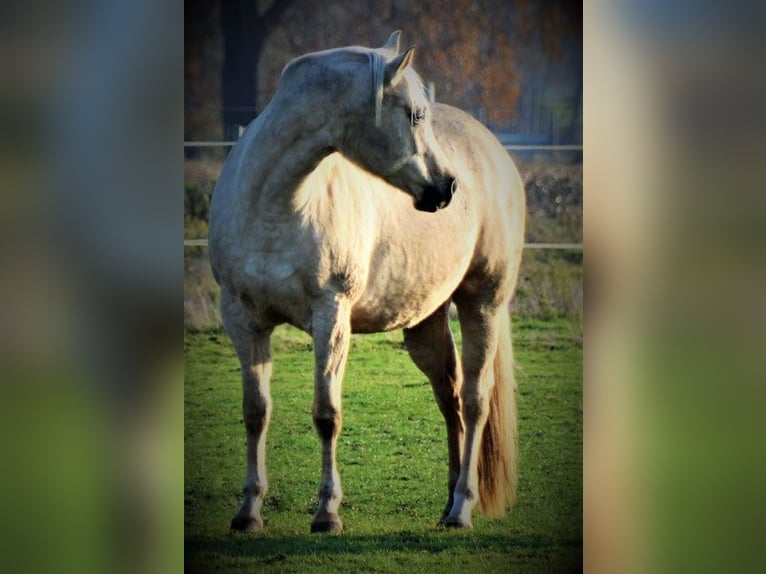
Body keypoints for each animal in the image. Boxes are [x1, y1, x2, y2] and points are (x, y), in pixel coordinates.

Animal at [207, 32, 524, 536]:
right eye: (415, 114)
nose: (447, 188)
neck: (276, 204)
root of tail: (493, 151)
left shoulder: (331, 317)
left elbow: (326, 415)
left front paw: (327, 512)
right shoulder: (242, 319)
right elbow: (255, 412)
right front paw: (248, 511)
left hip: (483, 304)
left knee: (475, 401)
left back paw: (462, 509)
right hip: (425, 324)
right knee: (450, 398)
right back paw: (447, 504)